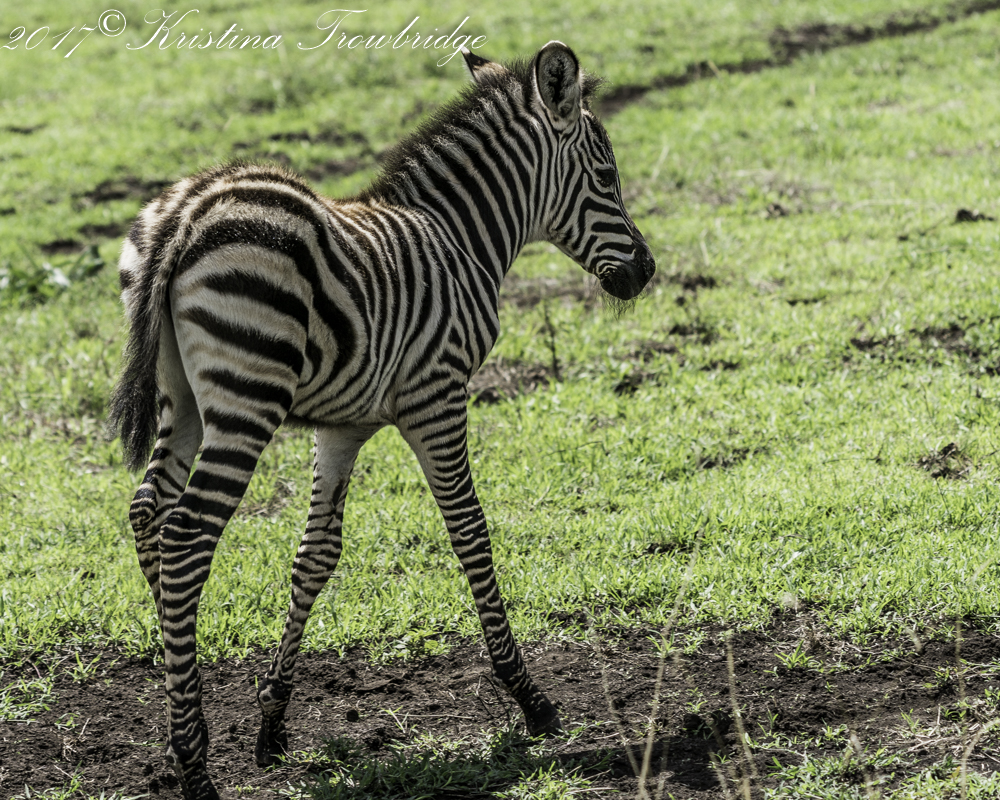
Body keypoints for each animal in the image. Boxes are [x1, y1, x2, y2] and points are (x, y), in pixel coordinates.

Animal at [108, 41, 655, 799]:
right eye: (606, 176)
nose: (646, 271)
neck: (461, 238)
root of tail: (186, 213)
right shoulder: (437, 395)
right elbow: (470, 531)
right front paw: (530, 699)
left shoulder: (344, 424)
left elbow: (315, 555)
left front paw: (272, 724)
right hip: (248, 397)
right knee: (187, 537)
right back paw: (193, 762)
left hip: (181, 399)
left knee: (148, 515)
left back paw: (179, 705)